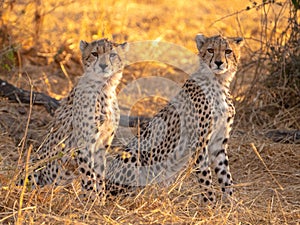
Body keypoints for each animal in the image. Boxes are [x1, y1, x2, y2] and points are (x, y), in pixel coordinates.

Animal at [19, 38, 127, 190]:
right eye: (94, 54)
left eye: (112, 55)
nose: (103, 65)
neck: (106, 87)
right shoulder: (83, 145)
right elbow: (89, 177)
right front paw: (91, 195)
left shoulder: (102, 145)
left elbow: (99, 176)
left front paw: (100, 196)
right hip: (34, 164)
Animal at [103, 34, 244, 203]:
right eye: (210, 50)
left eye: (228, 51)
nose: (218, 62)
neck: (219, 82)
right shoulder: (199, 143)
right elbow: (205, 177)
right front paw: (210, 203)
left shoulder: (219, 143)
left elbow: (225, 176)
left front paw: (231, 203)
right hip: (134, 156)